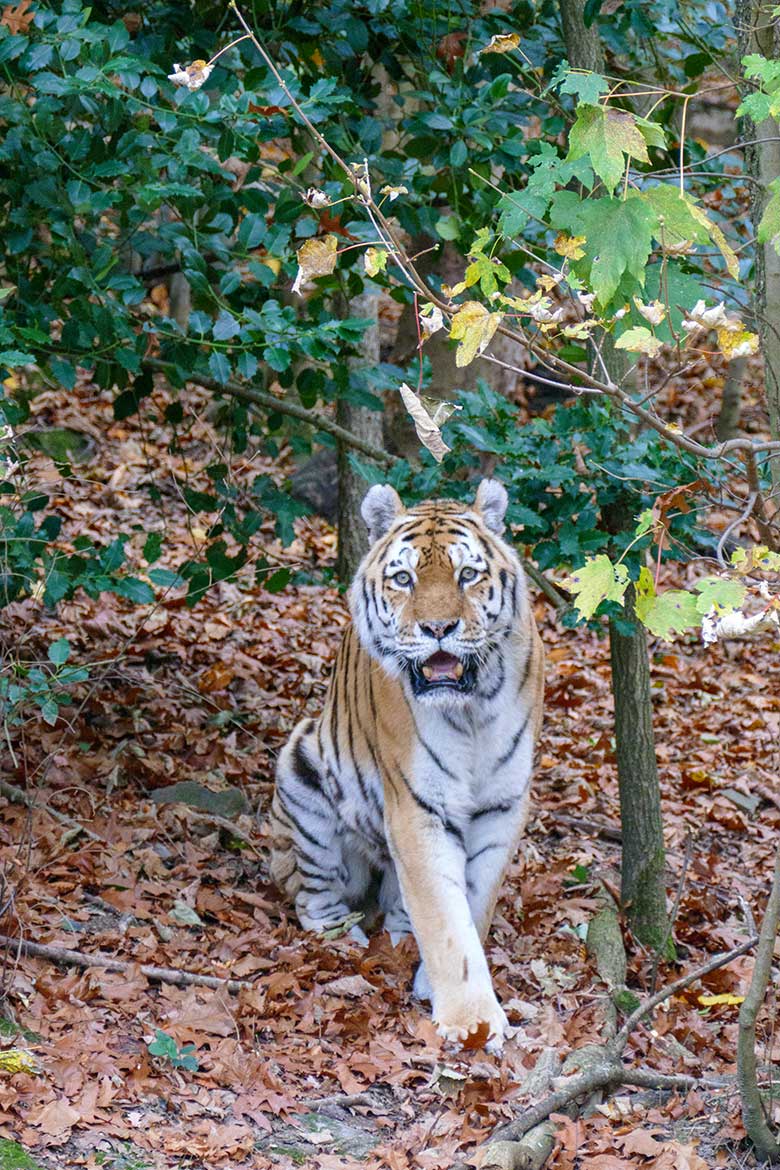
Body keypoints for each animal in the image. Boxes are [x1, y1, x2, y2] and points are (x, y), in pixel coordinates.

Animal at [271, 477, 547, 1053]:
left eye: (468, 575)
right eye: (404, 578)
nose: (438, 628)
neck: (471, 710)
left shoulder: (502, 805)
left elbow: (473, 902)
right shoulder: (418, 810)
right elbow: (444, 917)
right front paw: (472, 1021)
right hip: (302, 764)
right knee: (312, 895)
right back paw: (343, 939)